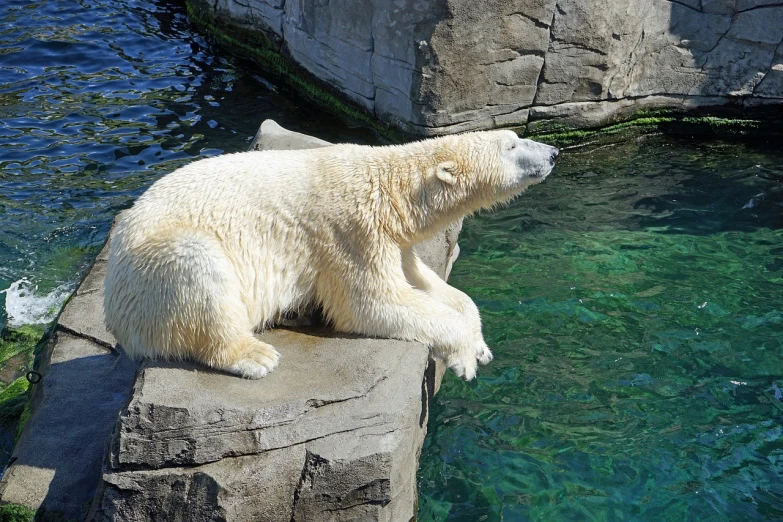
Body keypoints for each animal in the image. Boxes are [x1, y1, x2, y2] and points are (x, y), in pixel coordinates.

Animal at [102, 131, 556, 378]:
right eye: (512, 144)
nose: (553, 152)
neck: (390, 189)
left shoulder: (391, 239)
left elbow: (430, 286)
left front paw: (479, 344)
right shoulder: (350, 232)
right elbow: (371, 303)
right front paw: (464, 357)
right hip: (152, 270)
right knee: (199, 267)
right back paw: (255, 355)